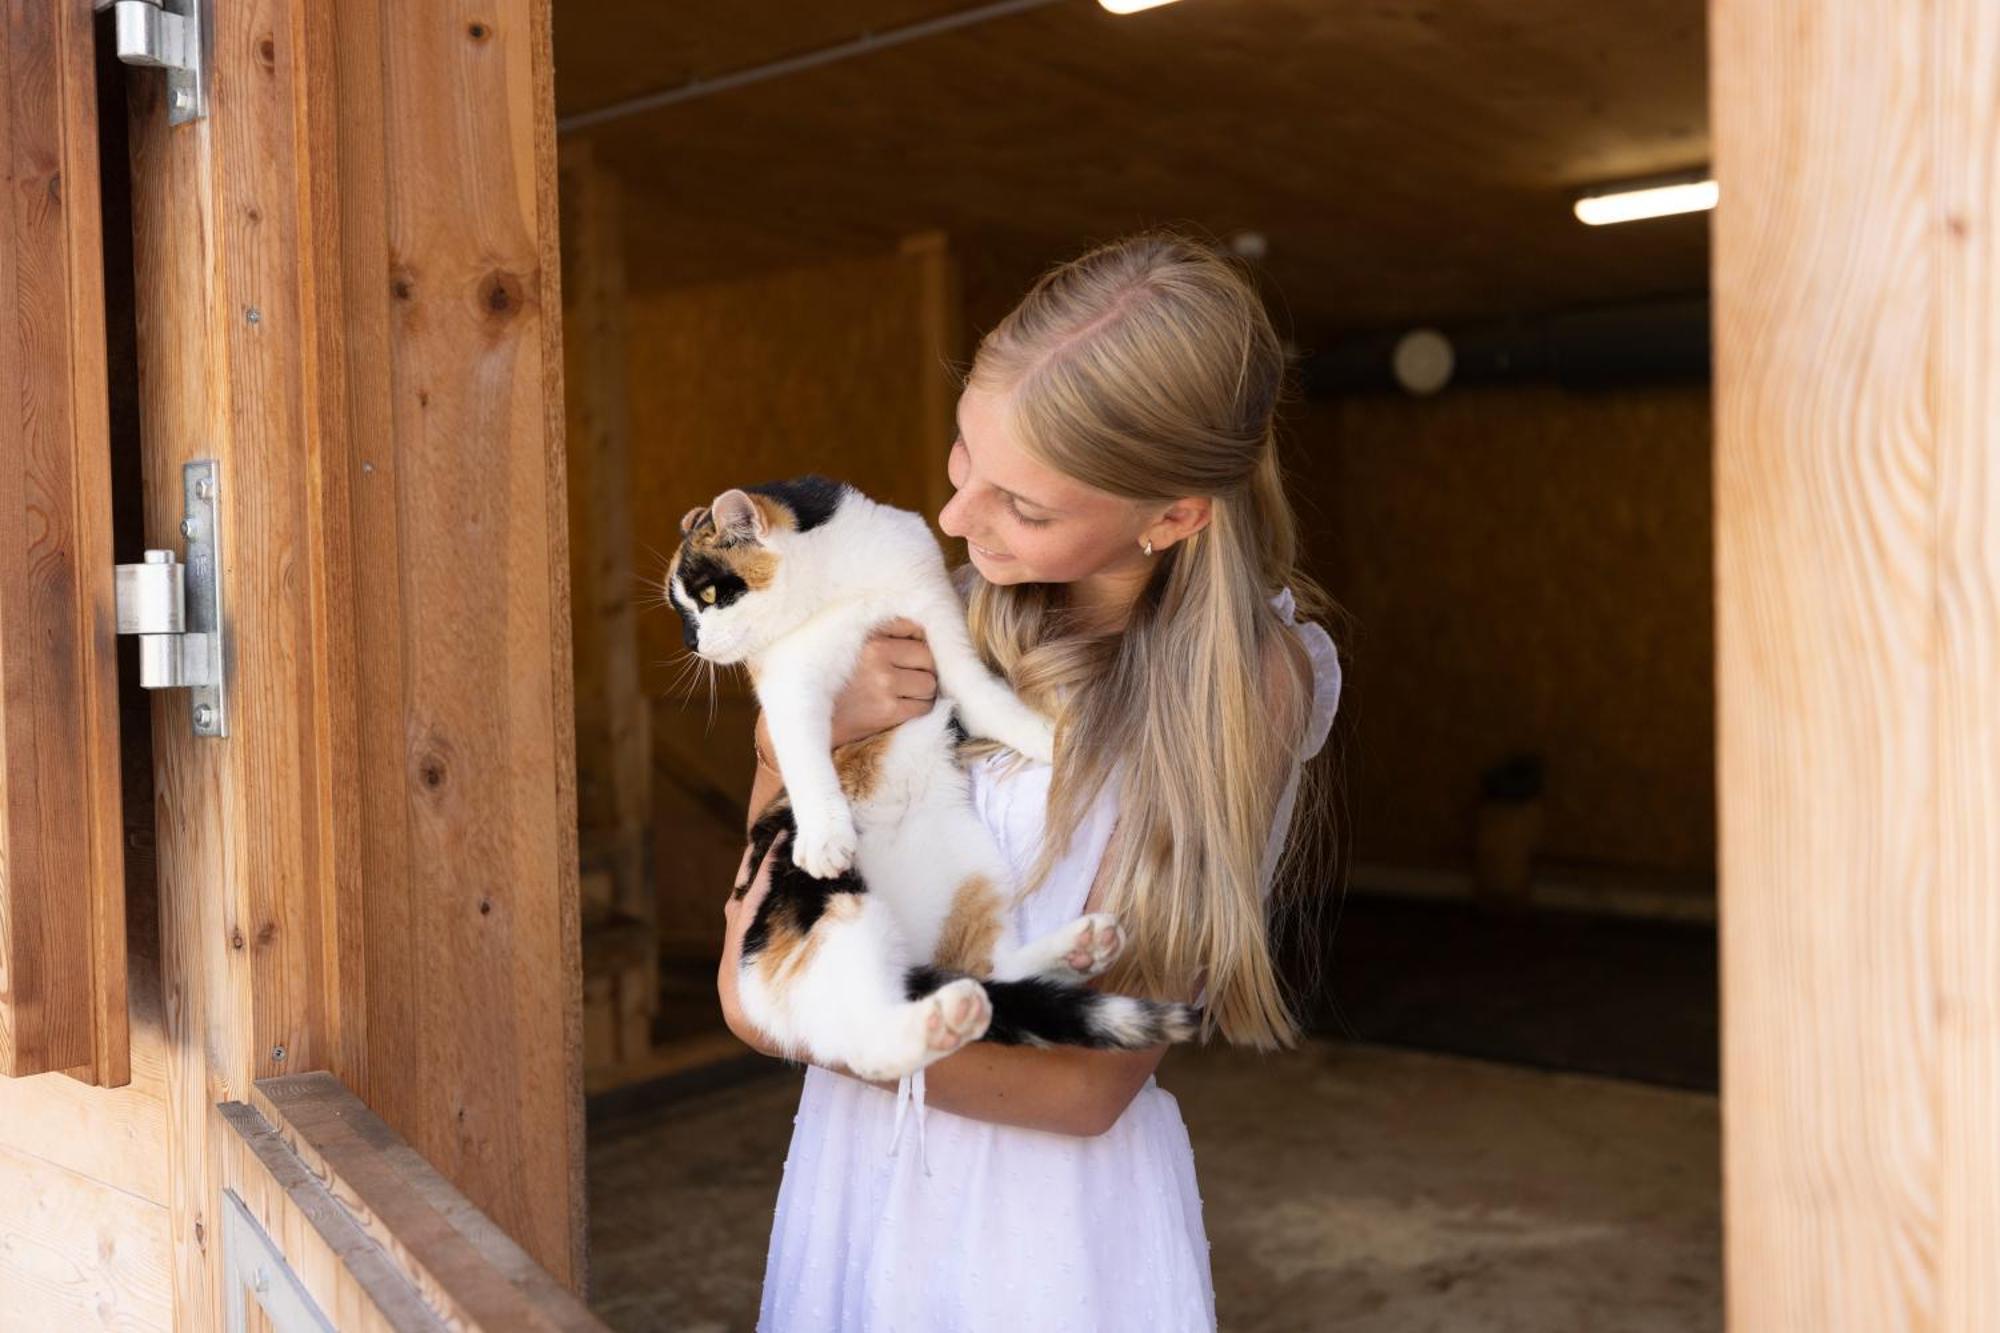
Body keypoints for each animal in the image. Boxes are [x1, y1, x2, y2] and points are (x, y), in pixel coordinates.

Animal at [672, 478, 1200, 1080]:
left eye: (710, 595)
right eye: (682, 609)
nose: (692, 643)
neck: (834, 591)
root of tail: (912, 948)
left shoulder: (936, 617)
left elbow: (982, 693)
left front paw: (1044, 737)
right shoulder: (791, 683)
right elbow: (805, 758)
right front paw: (825, 837)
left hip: (973, 874)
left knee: (989, 971)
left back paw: (1076, 948)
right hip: (828, 907)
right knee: (870, 1037)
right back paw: (945, 1016)